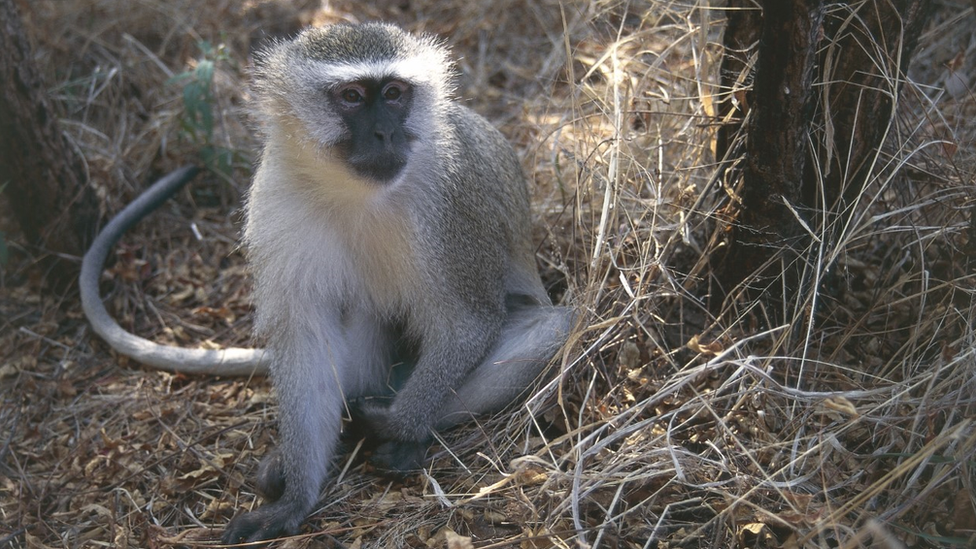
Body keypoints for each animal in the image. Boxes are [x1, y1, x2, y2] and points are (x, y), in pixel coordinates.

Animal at [80, 20, 576, 544]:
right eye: (353, 97)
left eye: (394, 93)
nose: (384, 133)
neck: (352, 190)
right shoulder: (277, 196)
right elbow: (306, 340)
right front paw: (295, 498)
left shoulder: (451, 198)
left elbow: (468, 323)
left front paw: (397, 425)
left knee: (551, 328)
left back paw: (384, 427)